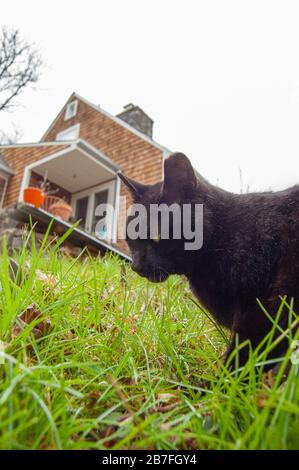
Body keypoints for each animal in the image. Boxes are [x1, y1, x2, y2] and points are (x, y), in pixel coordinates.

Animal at [118, 154, 298, 370]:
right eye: (130, 238)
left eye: (156, 236)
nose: (135, 265)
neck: (224, 233)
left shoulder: (264, 309)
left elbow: (247, 356)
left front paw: (222, 379)